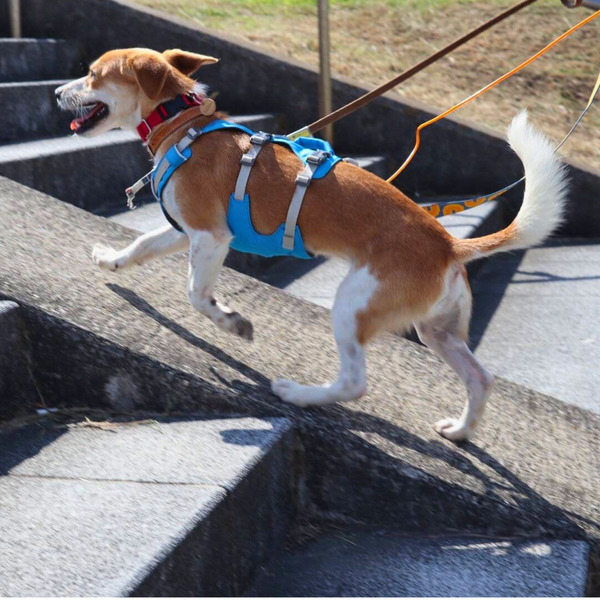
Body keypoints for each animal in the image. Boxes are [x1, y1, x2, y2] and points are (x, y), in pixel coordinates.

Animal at [55, 48, 567, 441]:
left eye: (94, 74)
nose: (57, 93)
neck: (184, 127)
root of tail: (447, 244)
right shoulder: (184, 230)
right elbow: (141, 244)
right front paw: (111, 261)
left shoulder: (211, 236)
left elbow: (197, 296)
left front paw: (232, 322)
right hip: (436, 330)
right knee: (480, 378)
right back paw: (460, 431)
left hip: (354, 304)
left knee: (355, 383)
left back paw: (299, 394)